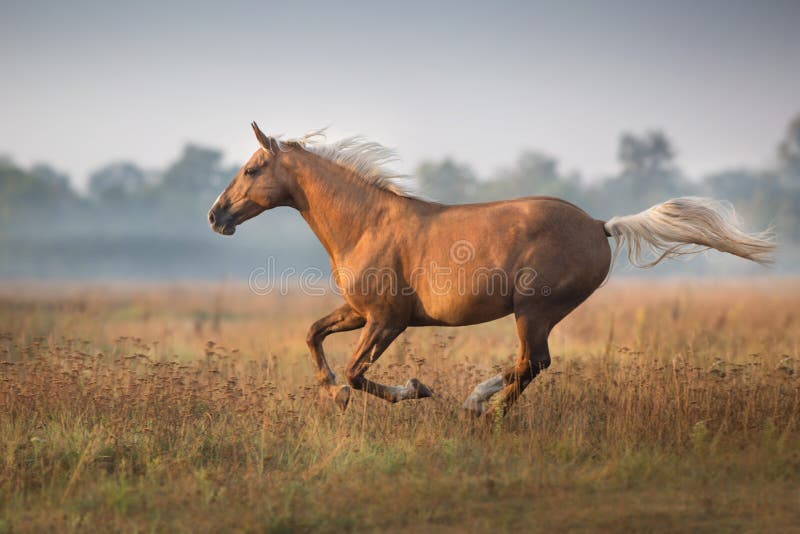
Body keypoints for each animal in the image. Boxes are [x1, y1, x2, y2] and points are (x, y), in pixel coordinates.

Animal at [208, 123, 776, 416]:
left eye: (252, 169)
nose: (216, 216)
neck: (367, 223)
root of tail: (600, 225)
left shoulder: (388, 320)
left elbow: (356, 371)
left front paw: (413, 388)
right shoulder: (358, 311)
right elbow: (312, 335)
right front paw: (331, 391)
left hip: (535, 310)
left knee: (532, 364)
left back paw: (482, 408)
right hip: (535, 314)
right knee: (528, 365)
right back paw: (480, 402)